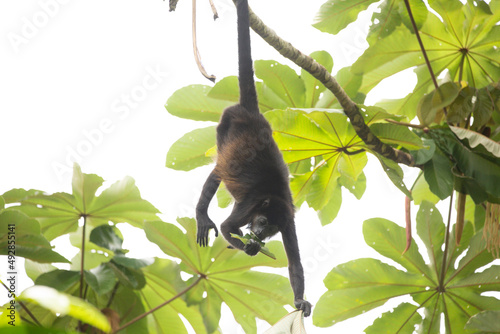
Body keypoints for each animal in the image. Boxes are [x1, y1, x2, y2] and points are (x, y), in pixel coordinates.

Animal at [196, 0, 310, 316]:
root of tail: (252, 113)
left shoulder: (288, 221)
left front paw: (301, 301)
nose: (259, 231)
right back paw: (202, 217)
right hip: (224, 125)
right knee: (219, 170)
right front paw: (247, 245)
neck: (270, 201)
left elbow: (295, 263)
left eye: (270, 228)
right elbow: (226, 226)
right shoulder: (251, 205)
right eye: (261, 221)